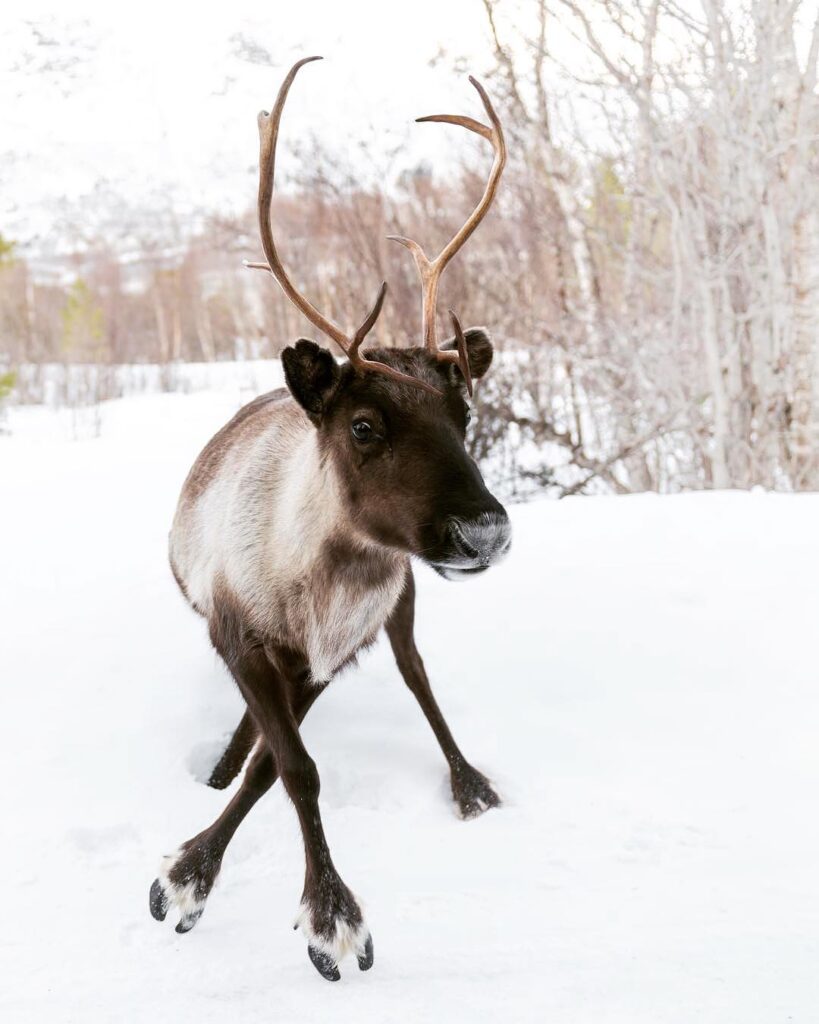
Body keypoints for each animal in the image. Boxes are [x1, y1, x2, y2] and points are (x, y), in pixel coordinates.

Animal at [149, 56, 510, 982]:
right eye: (364, 426)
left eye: (465, 416)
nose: (485, 532)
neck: (317, 582)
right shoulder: (241, 633)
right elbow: (291, 768)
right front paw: (218, 884)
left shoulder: (330, 656)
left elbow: (280, 771)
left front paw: (215, 878)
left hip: (406, 604)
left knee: (418, 677)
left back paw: (469, 782)